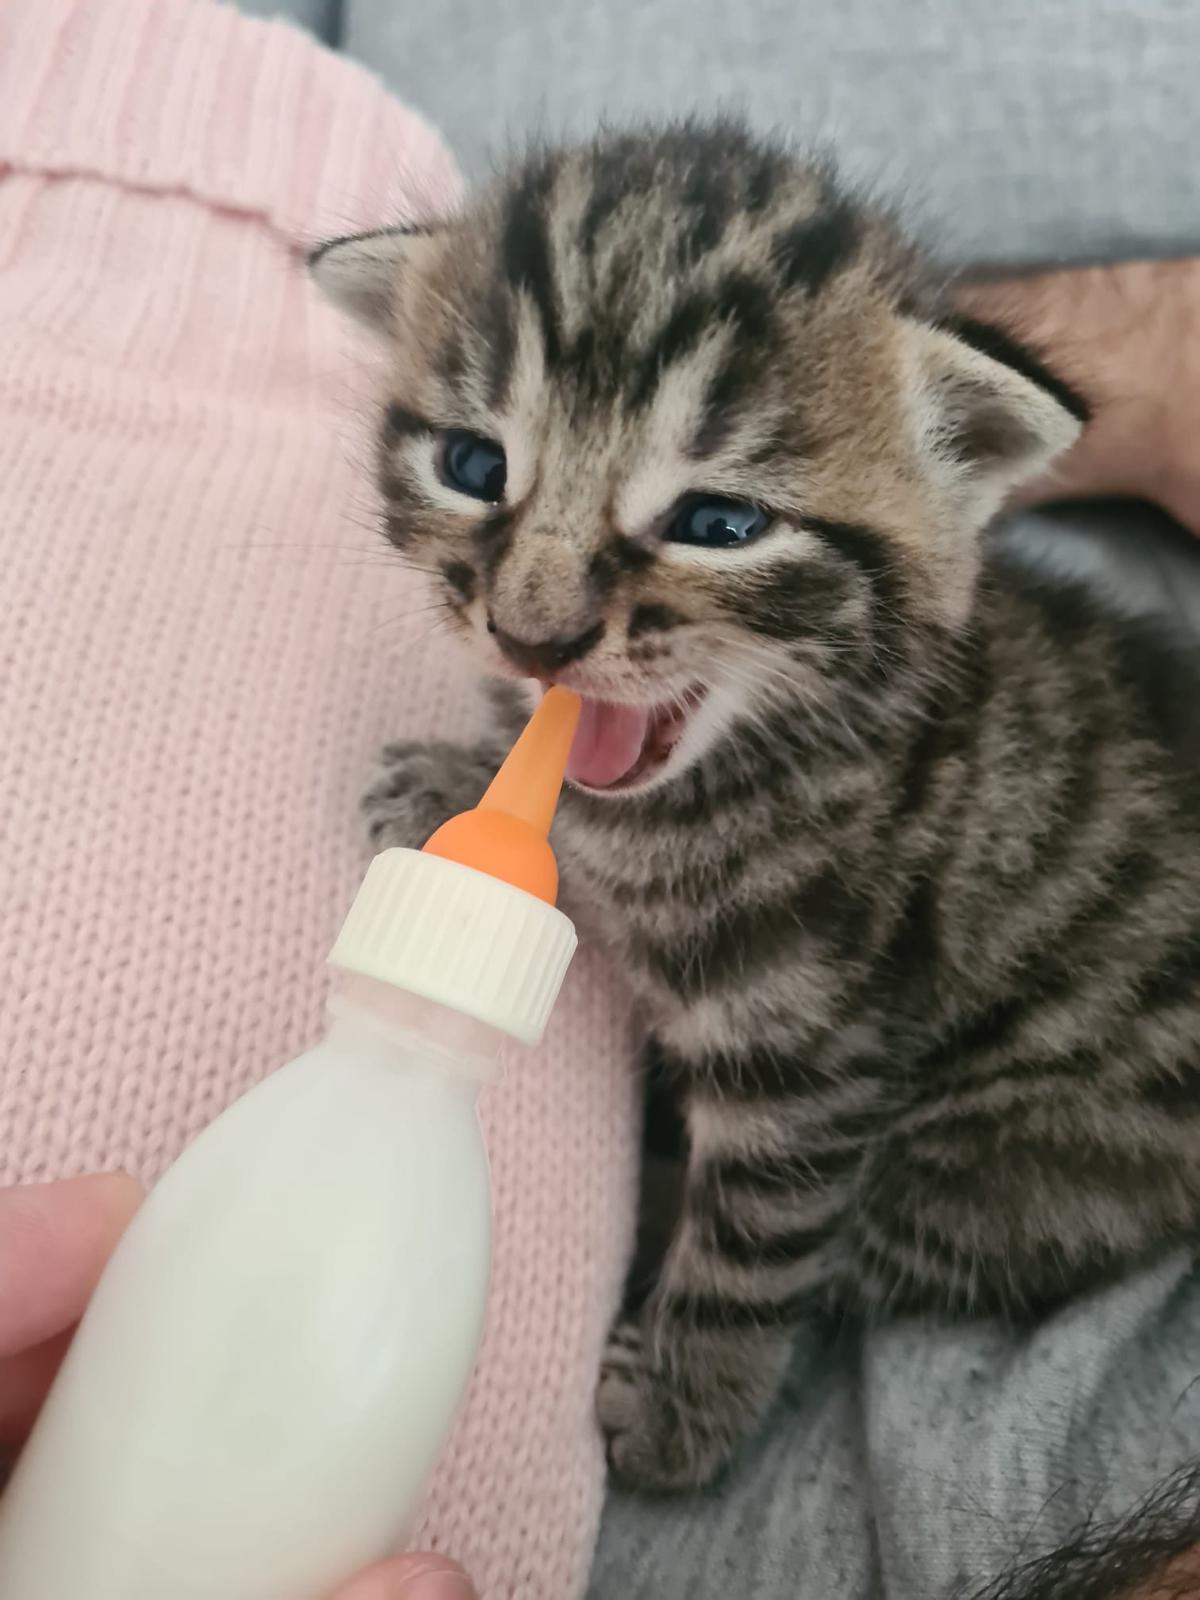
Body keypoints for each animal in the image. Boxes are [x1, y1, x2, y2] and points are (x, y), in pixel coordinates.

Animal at [309, 121, 1200, 1493]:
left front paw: (684, 1410)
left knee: (880, 1239)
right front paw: (463, 783)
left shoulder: (814, 1046)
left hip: (1037, 1148)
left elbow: (759, 1238)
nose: (533, 633)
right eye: (473, 466)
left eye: (719, 522)